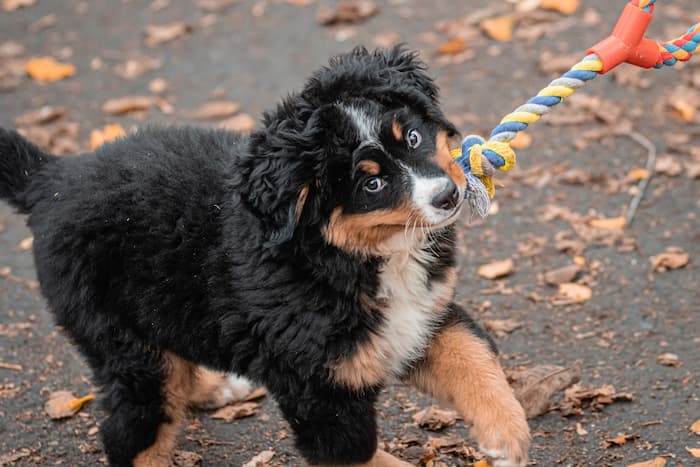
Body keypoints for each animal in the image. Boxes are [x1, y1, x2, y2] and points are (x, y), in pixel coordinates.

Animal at [0, 48, 528, 467]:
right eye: (371, 183)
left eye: (413, 138)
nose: (447, 196)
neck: (352, 255)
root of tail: (54, 179)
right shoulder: (317, 386)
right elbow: (351, 451)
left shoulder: (418, 319)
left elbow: (472, 354)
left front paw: (507, 434)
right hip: (122, 343)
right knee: (134, 429)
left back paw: (218, 386)